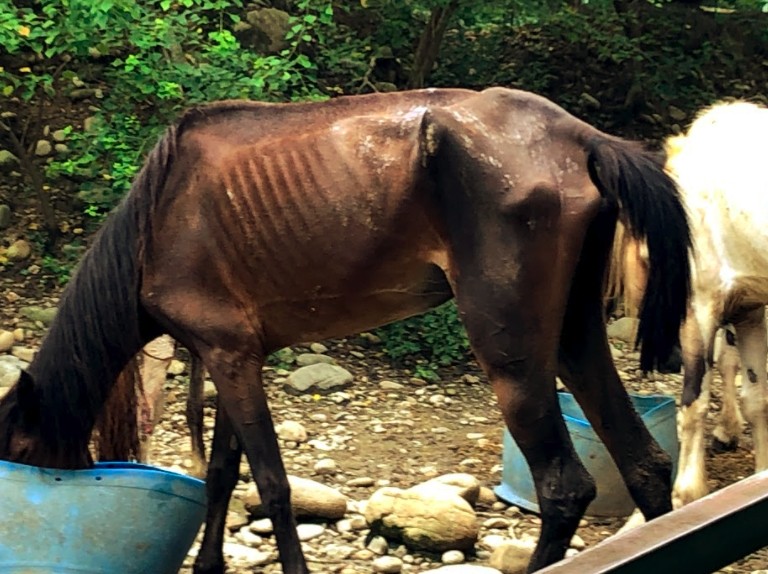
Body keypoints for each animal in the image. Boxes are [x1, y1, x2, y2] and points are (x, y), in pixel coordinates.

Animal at [0, 88, 688, 572]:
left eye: (24, 454)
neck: (157, 226)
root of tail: (581, 138)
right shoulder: (230, 356)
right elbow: (224, 472)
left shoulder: (228, 355)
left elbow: (272, 484)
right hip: (573, 336)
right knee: (647, 465)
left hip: (513, 353)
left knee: (565, 488)